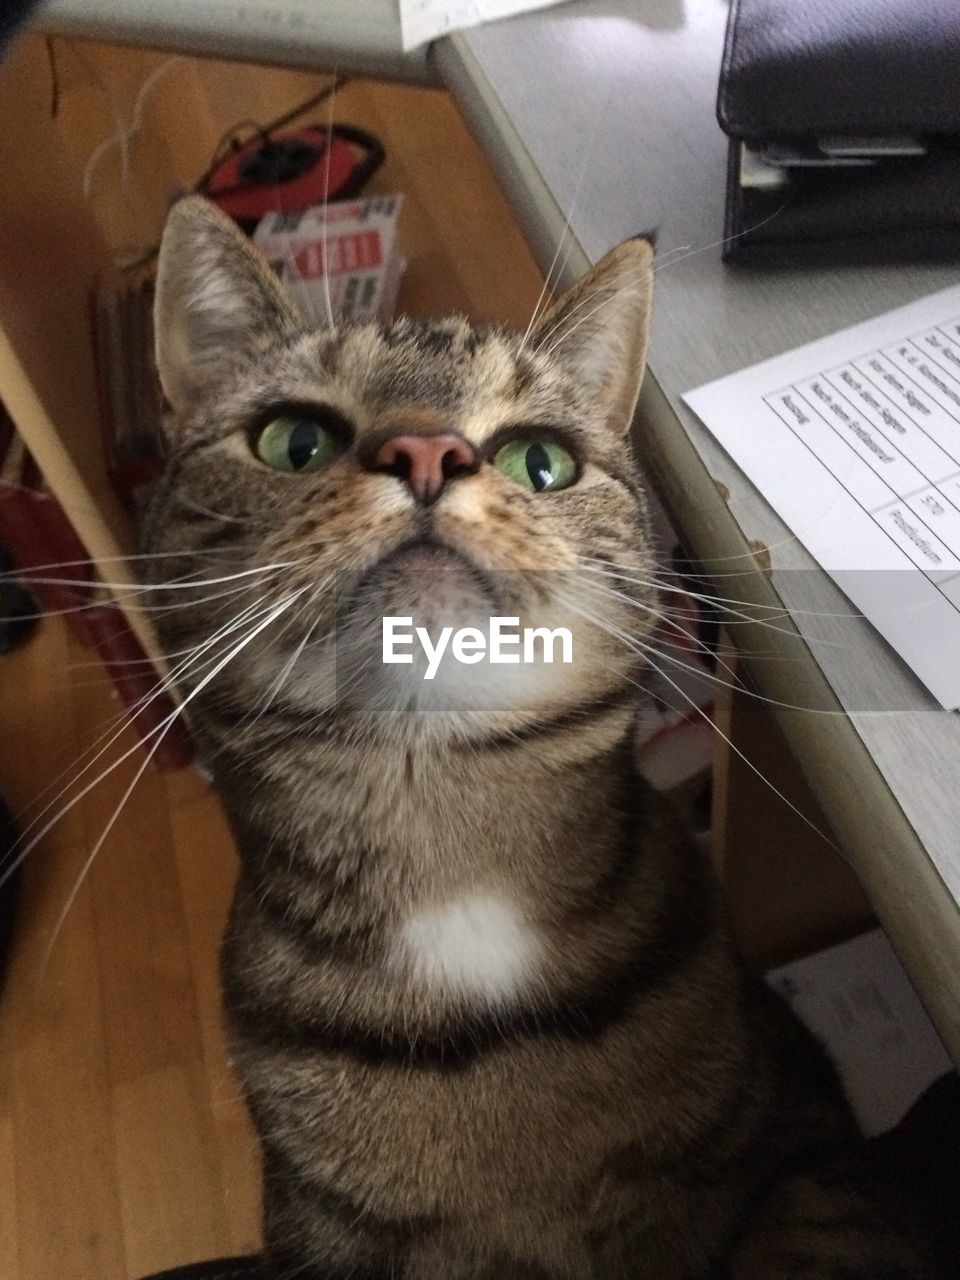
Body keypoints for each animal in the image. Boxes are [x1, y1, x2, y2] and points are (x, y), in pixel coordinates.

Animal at [142, 197, 947, 1280]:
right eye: (293, 442)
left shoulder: (797, 1141)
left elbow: (814, 1216)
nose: (428, 451)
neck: (453, 877)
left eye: (542, 459)